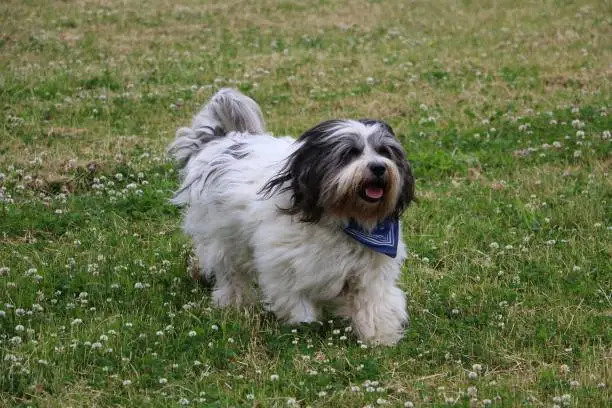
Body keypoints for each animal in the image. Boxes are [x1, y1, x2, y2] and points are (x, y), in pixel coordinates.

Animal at [167, 89, 416, 344]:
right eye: (349, 153)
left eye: (385, 152)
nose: (378, 167)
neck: (341, 218)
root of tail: (222, 140)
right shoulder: (284, 263)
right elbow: (294, 296)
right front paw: (304, 324)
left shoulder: (370, 270)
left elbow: (375, 302)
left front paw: (380, 336)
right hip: (222, 235)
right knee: (229, 271)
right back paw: (234, 301)